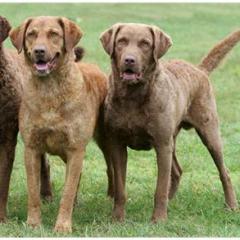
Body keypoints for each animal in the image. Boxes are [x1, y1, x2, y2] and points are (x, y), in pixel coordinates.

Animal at [100, 23, 240, 223]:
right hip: (172, 140)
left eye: (145, 43)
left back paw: (231, 206)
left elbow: (160, 187)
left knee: (224, 172)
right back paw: (171, 201)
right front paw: (117, 218)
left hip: (208, 133)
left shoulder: (161, 143)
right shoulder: (117, 144)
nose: (129, 60)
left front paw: (158, 219)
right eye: (121, 41)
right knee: (177, 171)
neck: (133, 98)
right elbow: (120, 188)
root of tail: (199, 69)